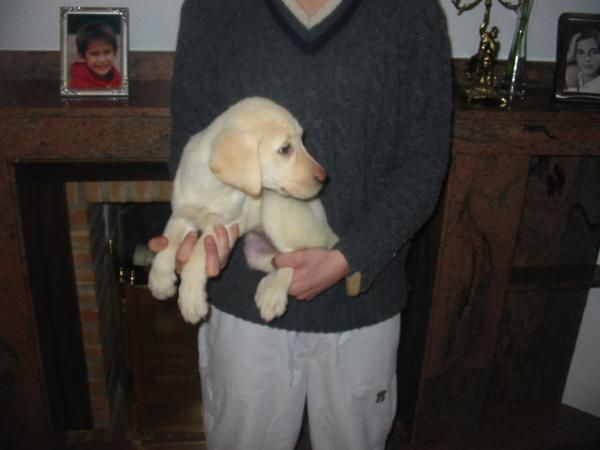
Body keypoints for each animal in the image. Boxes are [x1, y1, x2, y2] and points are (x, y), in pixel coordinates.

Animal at [149, 97, 338, 324]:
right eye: (285, 149)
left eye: (302, 141)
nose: (324, 177)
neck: (211, 186)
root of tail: (327, 230)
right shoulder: (182, 215)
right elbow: (167, 244)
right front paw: (160, 283)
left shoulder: (222, 225)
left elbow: (197, 256)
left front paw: (191, 300)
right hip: (256, 253)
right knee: (279, 261)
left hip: (276, 203)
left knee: (296, 258)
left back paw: (272, 296)